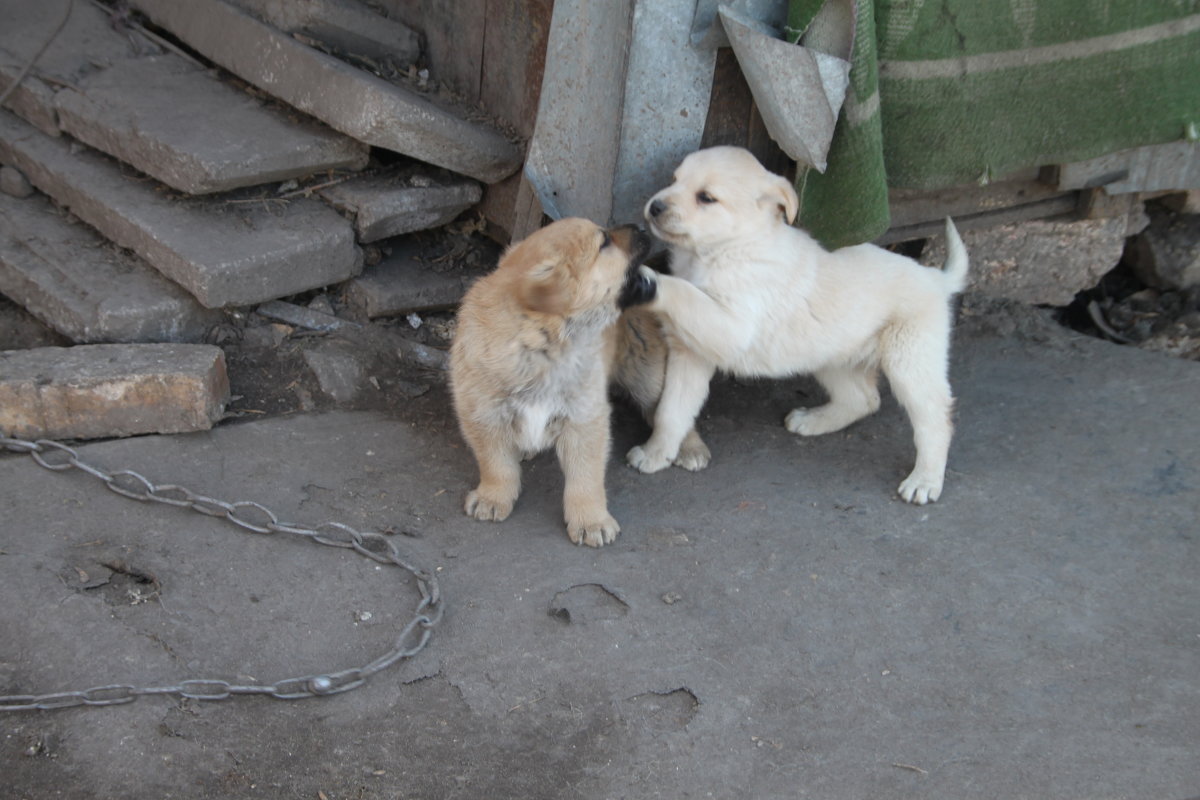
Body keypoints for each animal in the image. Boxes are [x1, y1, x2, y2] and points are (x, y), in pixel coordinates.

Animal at [451, 215, 657, 546]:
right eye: (604, 242)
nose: (641, 223)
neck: (539, 344)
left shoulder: (585, 417)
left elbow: (585, 477)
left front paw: (590, 520)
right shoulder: (483, 412)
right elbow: (496, 464)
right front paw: (493, 497)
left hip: (645, 372)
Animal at [633, 146, 969, 503]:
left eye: (706, 197)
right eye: (674, 180)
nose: (655, 206)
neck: (729, 248)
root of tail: (935, 278)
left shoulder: (732, 326)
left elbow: (684, 292)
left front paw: (644, 281)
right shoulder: (690, 352)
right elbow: (671, 411)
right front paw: (655, 454)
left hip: (910, 362)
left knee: (935, 419)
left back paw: (925, 480)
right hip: (831, 358)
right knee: (864, 399)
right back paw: (813, 421)